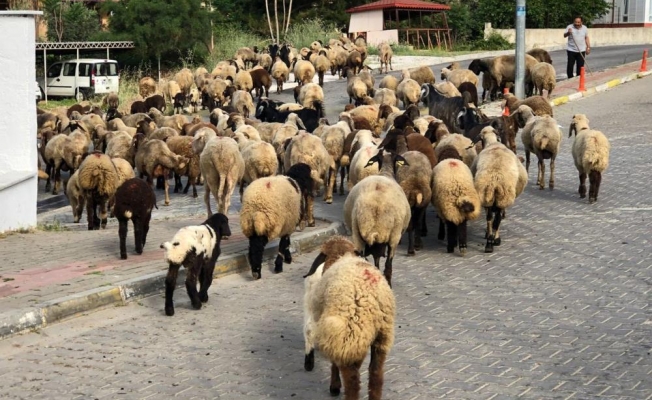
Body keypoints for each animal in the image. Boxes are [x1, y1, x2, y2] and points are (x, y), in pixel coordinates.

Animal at [304, 236, 394, 400]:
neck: (341, 255)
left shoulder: (335, 333)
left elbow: (334, 362)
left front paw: (334, 386)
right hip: (382, 337)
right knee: (376, 374)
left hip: (352, 336)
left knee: (352, 380)